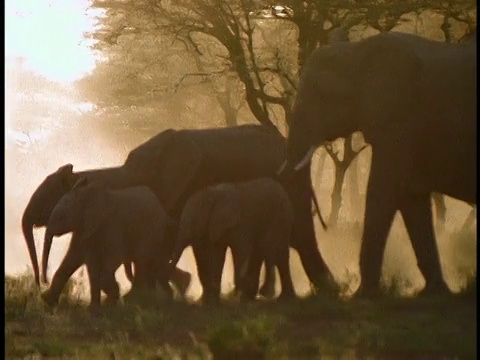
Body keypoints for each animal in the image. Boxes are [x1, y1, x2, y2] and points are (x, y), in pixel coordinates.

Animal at [41, 178, 188, 310]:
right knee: (153, 263)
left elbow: (112, 258)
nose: (45, 281)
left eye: (62, 216)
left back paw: (139, 302)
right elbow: (79, 260)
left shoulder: (112, 225)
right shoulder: (84, 228)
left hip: (153, 230)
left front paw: (109, 302)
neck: (87, 195)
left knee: (143, 261)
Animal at [169, 176, 296, 304]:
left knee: (275, 251)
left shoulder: (240, 222)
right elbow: (218, 254)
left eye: (193, 221)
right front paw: (215, 301)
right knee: (268, 253)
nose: (186, 280)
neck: (213, 193)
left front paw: (235, 294)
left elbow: (241, 250)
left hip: (281, 217)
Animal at [282, 32, 476, 298]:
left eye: (320, 95)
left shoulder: (397, 119)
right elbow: (411, 199)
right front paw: (433, 293)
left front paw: (362, 295)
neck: (356, 51)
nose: (338, 287)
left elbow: (382, 192)